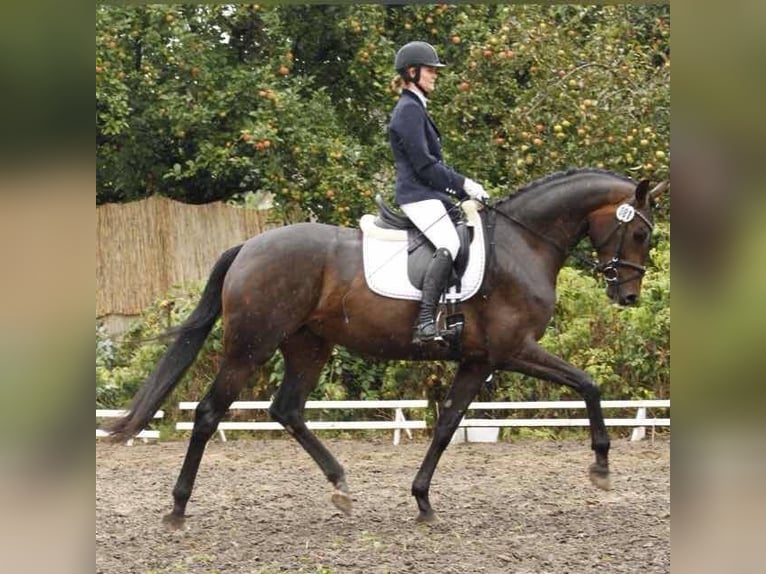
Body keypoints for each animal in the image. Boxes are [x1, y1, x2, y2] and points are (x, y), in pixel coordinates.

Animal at [105, 166, 668, 528]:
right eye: (641, 234)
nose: (628, 295)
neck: (523, 243)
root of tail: (248, 246)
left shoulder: (477, 360)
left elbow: (446, 426)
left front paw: (422, 502)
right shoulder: (514, 349)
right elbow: (589, 385)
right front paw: (600, 468)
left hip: (309, 345)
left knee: (287, 409)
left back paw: (340, 486)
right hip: (251, 347)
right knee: (208, 413)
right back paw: (178, 509)